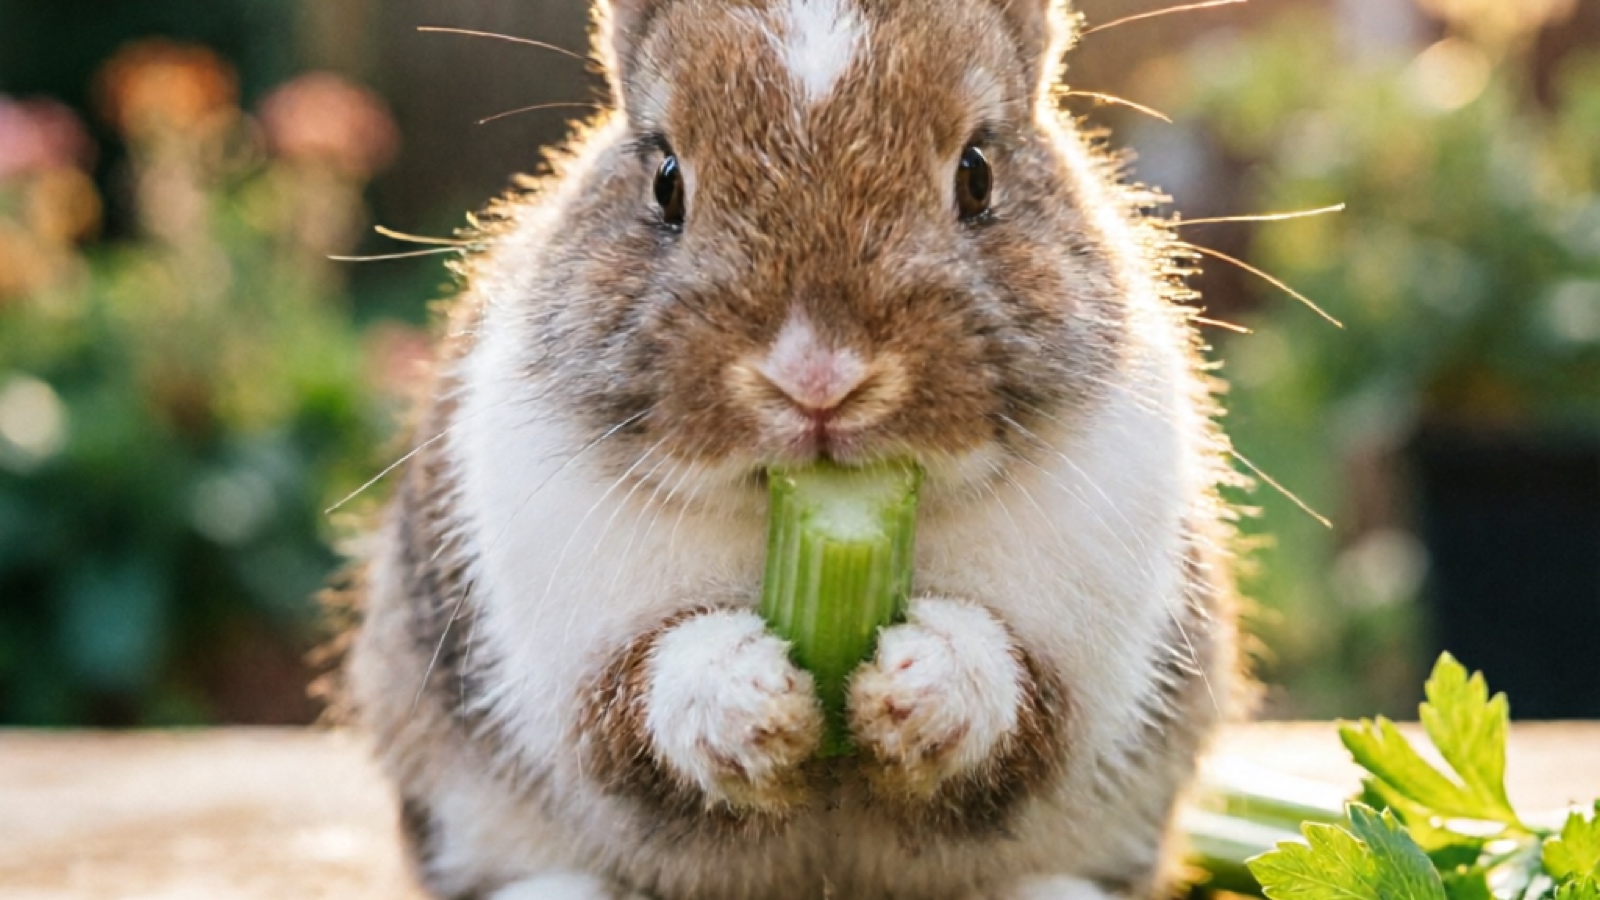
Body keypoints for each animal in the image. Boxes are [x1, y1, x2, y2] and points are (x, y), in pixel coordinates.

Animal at [340, 0, 1246, 898]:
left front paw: (921, 686)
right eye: (666, 180)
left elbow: (1020, 700)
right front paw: (751, 698)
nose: (817, 375)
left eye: (977, 174)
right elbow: (640, 700)